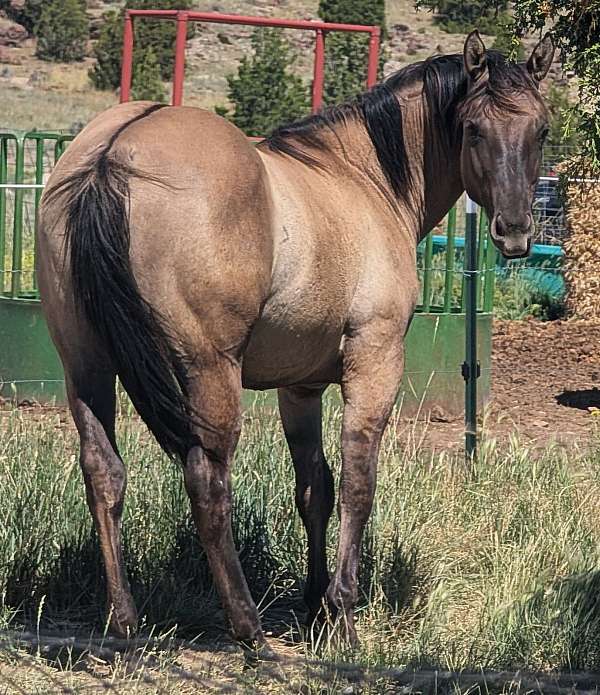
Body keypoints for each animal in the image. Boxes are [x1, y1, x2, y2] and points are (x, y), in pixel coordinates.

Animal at [37, 31, 554, 659]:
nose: (515, 231)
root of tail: (112, 155)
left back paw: (125, 624)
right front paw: (343, 615)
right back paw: (248, 630)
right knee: (208, 483)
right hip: (208, 373)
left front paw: (315, 608)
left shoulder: (301, 387)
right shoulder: (374, 363)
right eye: (474, 128)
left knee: (104, 475)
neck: (361, 177)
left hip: (85, 368)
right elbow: (358, 485)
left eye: (541, 130)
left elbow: (316, 489)